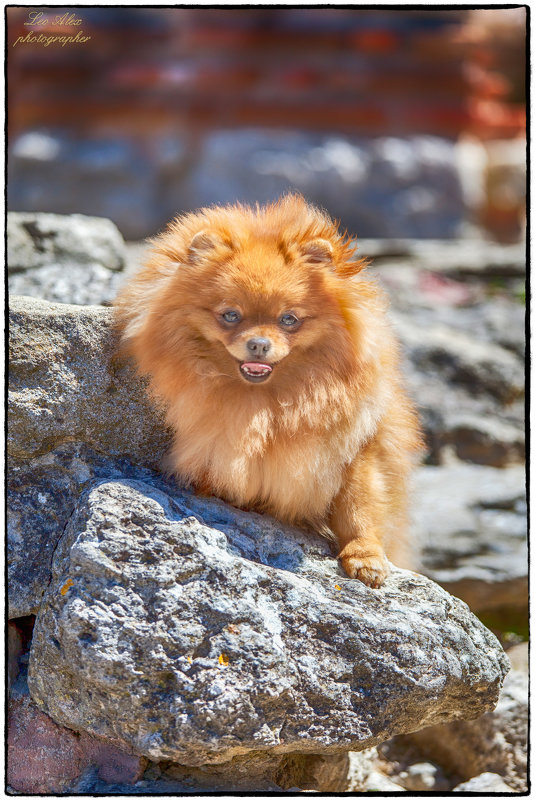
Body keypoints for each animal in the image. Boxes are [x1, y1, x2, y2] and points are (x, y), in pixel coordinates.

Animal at [114, 191, 422, 584]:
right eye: (230, 315)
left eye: (288, 319)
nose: (259, 344)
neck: (268, 404)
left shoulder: (360, 447)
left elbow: (359, 508)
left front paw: (365, 557)